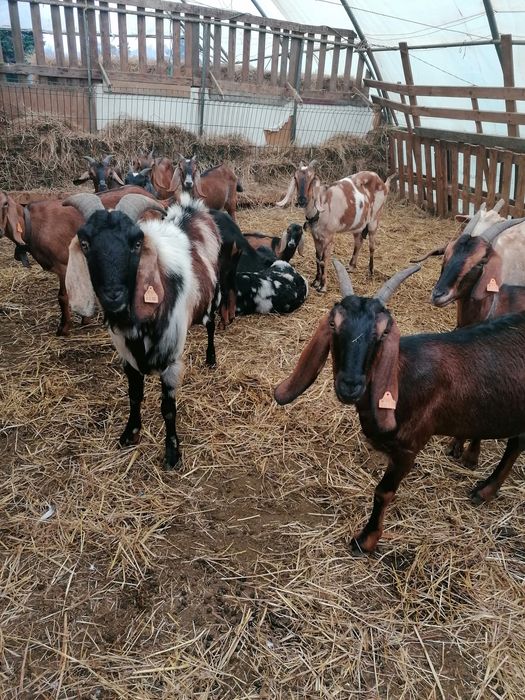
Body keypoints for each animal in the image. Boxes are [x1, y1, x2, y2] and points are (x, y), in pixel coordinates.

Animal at [1, 185, 160, 335]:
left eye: (4, 203)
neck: (33, 225)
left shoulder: (63, 265)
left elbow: (63, 297)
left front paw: (64, 328)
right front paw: (86, 318)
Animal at [64, 193, 221, 470]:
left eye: (136, 243)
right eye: (85, 243)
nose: (113, 295)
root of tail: (192, 208)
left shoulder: (170, 360)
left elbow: (168, 408)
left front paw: (172, 453)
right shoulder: (128, 358)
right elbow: (134, 396)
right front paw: (130, 433)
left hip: (211, 298)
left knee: (211, 324)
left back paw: (211, 359)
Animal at [274, 259, 525, 553]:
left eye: (383, 332)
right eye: (334, 325)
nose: (350, 385)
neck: (402, 378)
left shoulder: (409, 446)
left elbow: (383, 492)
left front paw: (365, 540)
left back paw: (484, 489)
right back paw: (486, 489)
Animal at [277, 160, 395, 291]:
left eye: (312, 178)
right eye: (295, 177)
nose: (302, 200)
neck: (321, 207)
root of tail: (382, 182)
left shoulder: (329, 237)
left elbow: (324, 259)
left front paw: (323, 286)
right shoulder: (316, 236)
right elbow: (318, 258)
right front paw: (315, 281)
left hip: (375, 219)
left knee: (372, 246)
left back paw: (370, 272)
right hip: (358, 224)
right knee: (358, 242)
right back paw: (351, 267)